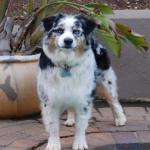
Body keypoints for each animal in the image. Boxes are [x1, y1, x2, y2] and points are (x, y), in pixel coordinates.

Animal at [37, 13, 126, 149]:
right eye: (59, 30)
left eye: (76, 31)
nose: (68, 41)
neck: (66, 63)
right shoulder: (50, 98)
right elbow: (53, 125)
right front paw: (53, 145)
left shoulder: (84, 97)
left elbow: (81, 125)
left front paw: (79, 144)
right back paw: (70, 120)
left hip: (105, 81)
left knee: (113, 100)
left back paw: (120, 118)